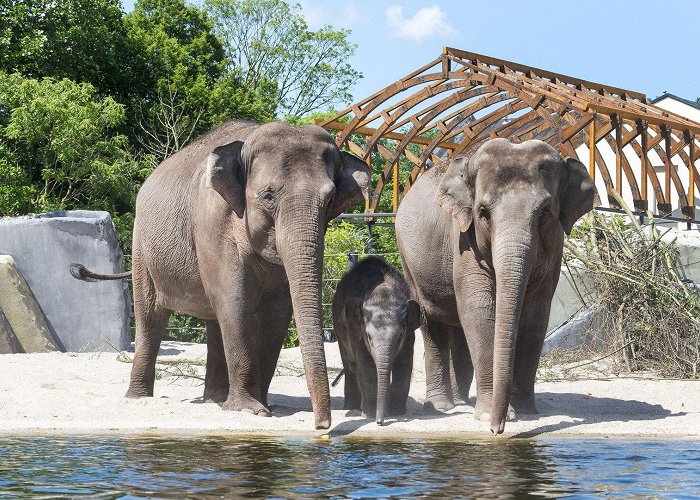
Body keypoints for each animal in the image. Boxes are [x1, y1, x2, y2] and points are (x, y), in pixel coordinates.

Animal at [72, 119, 372, 428]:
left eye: (330, 198)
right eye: (268, 196)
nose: (322, 426)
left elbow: (277, 311)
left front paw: (262, 406)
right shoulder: (213, 222)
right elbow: (235, 301)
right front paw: (250, 410)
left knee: (214, 321)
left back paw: (214, 400)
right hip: (142, 246)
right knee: (150, 318)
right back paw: (139, 398)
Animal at [334, 256, 422, 424]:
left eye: (400, 336)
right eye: (368, 336)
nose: (379, 421)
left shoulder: (409, 335)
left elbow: (404, 363)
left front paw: (397, 413)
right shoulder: (355, 331)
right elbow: (366, 366)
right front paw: (368, 415)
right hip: (338, 328)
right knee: (350, 366)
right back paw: (350, 408)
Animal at [396, 138, 600, 434]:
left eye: (545, 213)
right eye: (483, 213)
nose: (497, 429)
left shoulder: (555, 246)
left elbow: (536, 315)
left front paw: (525, 412)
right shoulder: (463, 239)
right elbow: (479, 311)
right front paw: (487, 416)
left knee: (459, 329)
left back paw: (462, 401)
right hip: (408, 260)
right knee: (431, 322)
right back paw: (442, 407)